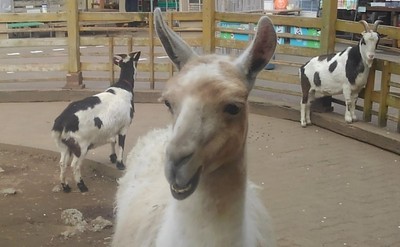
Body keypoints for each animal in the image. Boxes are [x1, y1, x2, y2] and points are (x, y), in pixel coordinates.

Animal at [52, 51, 141, 192]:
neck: (123, 87)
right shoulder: (124, 126)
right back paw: (82, 186)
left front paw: (112, 157)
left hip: (65, 145)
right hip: (81, 145)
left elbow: (113, 140)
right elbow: (121, 145)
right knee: (75, 165)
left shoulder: (112, 126)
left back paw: (65, 186)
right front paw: (120, 163)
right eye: (135, 61)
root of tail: (61, 122)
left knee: (62, 163)